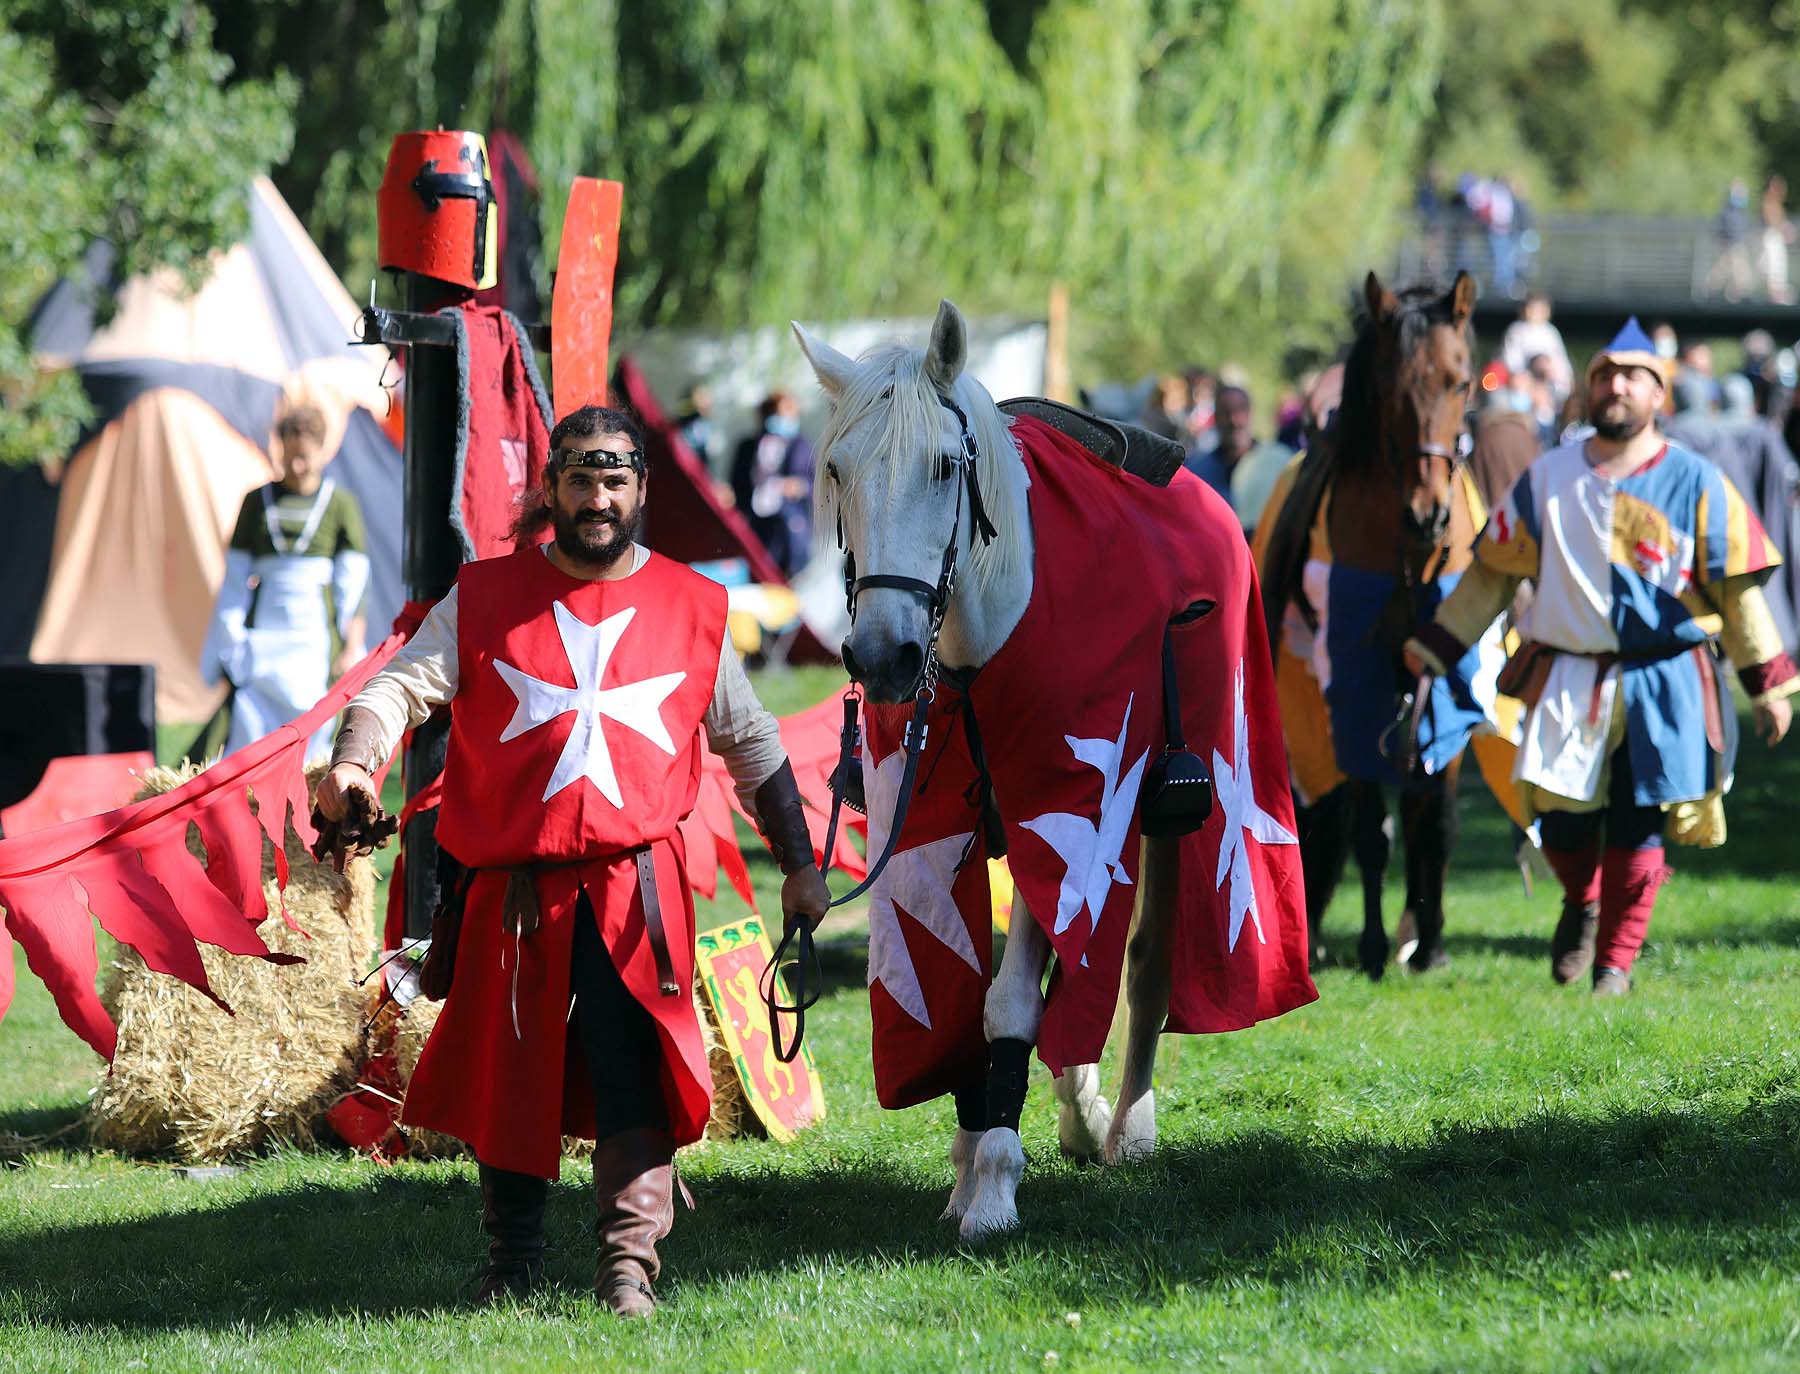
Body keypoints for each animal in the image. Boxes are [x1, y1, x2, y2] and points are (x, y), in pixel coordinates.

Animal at [795, 304, 1173, 1246]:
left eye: (942, 466)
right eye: (837, 471)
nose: (882, 658)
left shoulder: (1067, 817)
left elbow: (1011, 1002)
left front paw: (994, 1186)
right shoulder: (944, 830)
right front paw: (971, 1165)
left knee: (1146, 956)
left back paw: (1130, 1123)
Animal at [1252, 268, 1504, 979]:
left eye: (1461, 381)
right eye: (1393, 389)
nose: (1428, 515)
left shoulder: (1445, 672)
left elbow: (1433, 817)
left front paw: (1432, 942)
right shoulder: (1353, 681)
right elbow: (1370, 829)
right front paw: (1371, 945)